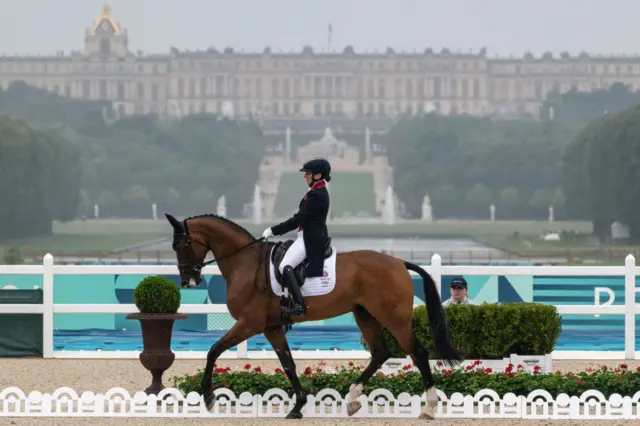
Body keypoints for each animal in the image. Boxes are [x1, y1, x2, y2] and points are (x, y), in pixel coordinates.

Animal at [164, 213, 460, 420]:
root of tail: (399, 262)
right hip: (365, 315)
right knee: (380, 353)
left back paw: (429, 408)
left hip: (394, 319)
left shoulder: (250, 323)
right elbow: (288, 364)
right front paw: (297, 407)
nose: (188, 281)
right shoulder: (272, 327)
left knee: (418, 353)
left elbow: (213, 350)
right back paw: (353, 400)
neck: (245, 263)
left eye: (181, 244)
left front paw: (208, 397)